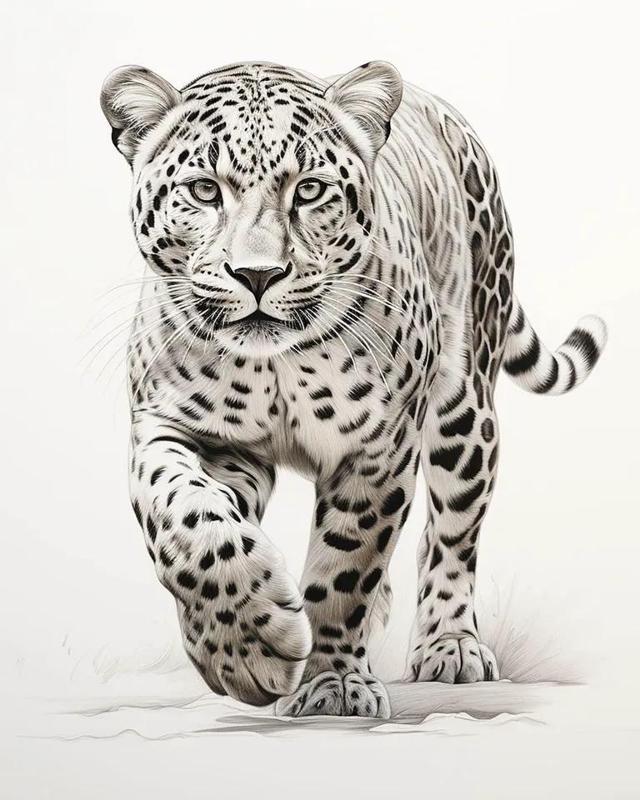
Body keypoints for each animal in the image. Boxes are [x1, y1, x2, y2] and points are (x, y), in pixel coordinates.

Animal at [100, 60, 606, 719]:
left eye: (310, 190)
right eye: (205, 191)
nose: (258, 275)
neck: (275, 367)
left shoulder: (379, 447)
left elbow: (347, 564)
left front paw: (331, 683)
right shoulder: (181, 429)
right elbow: (187, 519)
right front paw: (241, 648)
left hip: (466, 415)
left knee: (451, 536)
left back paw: (450, 645)